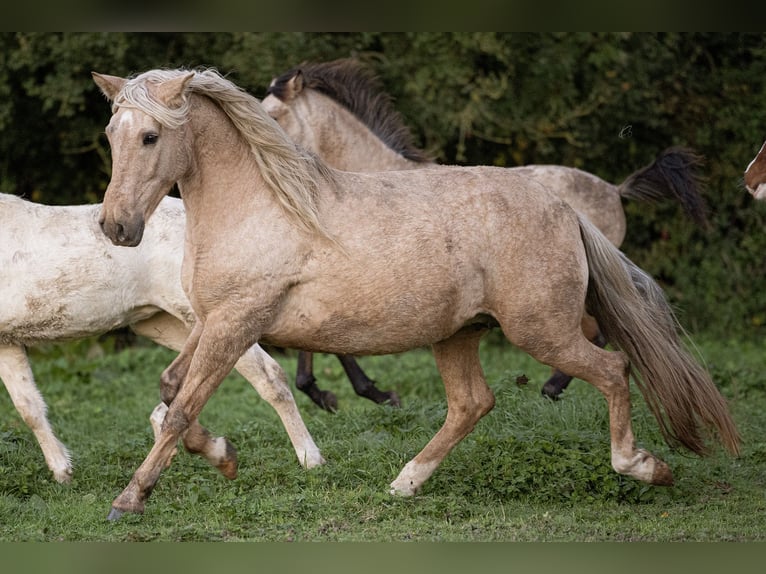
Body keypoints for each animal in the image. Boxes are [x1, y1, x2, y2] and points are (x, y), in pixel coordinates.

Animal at [0, 191, 324, 484]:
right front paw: (62, 472)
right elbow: (29, 406)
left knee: (268, 375)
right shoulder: (7, 342)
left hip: (218, 318)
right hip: (168, 324)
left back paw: (310, 458)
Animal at [93, 68, 740, 520]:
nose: (116, 227)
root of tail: (567, 210)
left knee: (612, 368)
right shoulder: (210, 321)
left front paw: (129, 500)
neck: (262, 205)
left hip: (542, 330)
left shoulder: (236, 323)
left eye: (150, 135)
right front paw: (222, 456)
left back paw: (643, 466)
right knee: (473, 403)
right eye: (110, 134)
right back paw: (405, 482)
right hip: (459, 334)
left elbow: (181, 409)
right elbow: (171, 391)